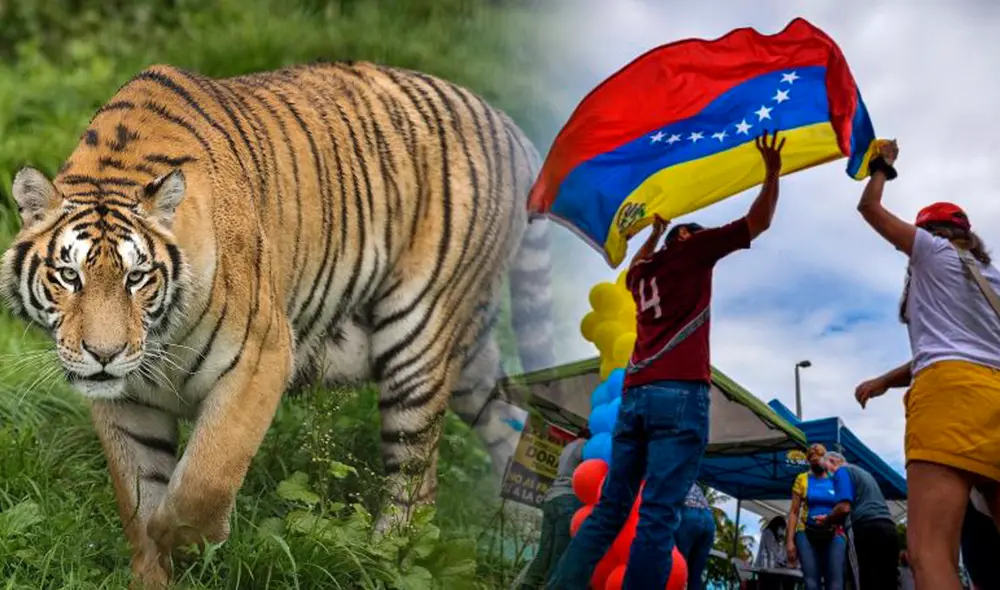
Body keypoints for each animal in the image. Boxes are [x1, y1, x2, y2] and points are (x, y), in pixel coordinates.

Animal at [0, 61, 555, 588]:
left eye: (137, 278)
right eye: (69, 276)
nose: (104, 354)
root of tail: (507, 123)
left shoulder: (260, 358)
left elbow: (205, 477)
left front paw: (186, 540)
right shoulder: (125, 401)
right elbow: (137, 495)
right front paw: (154, 571)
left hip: (417, 337)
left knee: (417, 483)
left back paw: (382, 559)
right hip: (469, 360)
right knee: (513, 420)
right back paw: (526, 540)